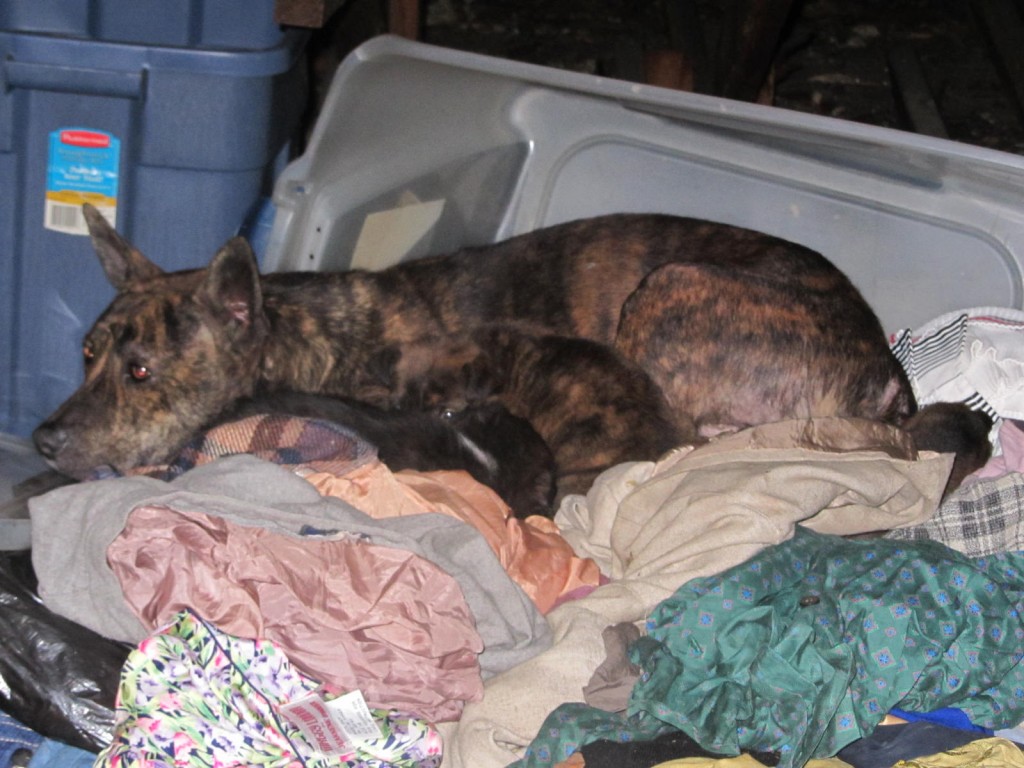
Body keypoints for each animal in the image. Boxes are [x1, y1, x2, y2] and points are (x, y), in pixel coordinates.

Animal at [36, 204, 987, 495]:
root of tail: (887, 372)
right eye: (83, 354)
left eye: (140, 371)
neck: (306, 338)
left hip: (670, 286)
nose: (43, 441)